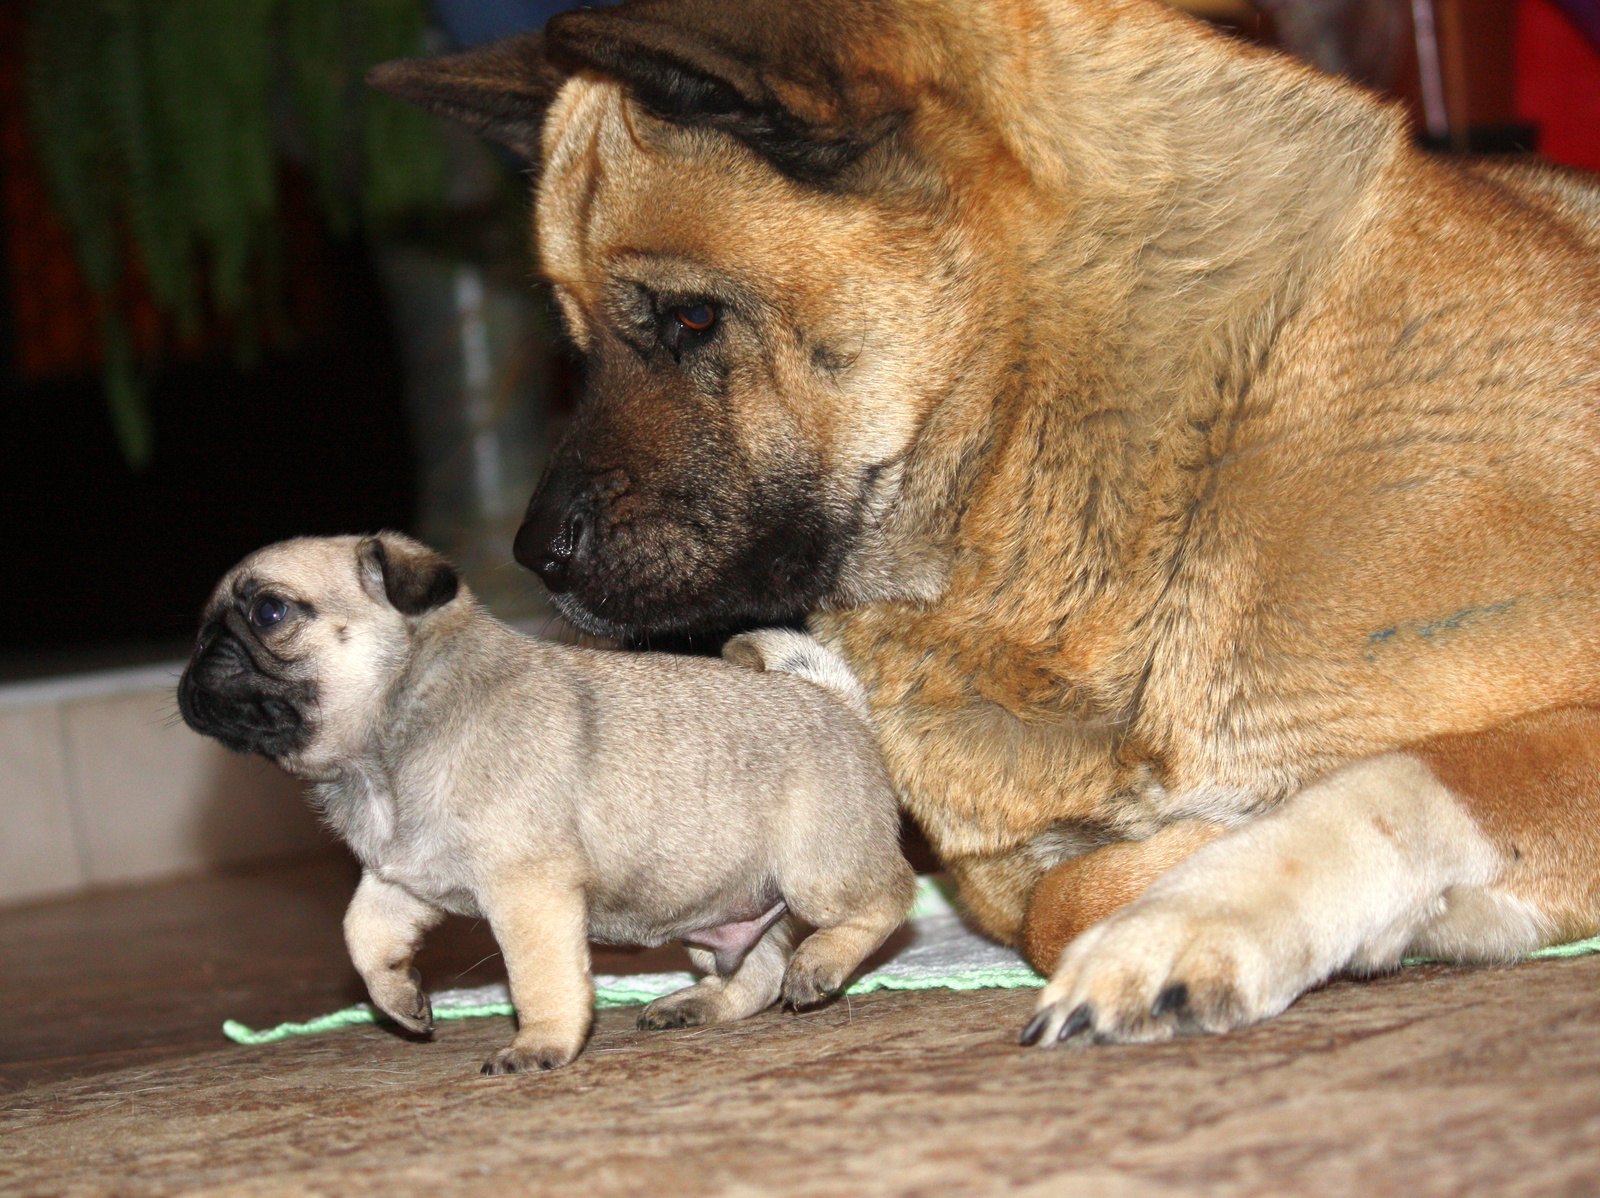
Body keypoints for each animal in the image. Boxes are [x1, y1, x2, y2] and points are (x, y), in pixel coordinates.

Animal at [178, 534, 915, 1074]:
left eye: (270, 613)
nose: (195, 662)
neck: (385, 746)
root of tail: (837, 702)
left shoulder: (527, 892)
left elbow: (537, 978)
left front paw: (540, 1045)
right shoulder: (402, 878)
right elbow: (362, 933)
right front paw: (398, 997)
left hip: (818, 869)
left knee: (887, 902)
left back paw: (820, 963)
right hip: (720, 906)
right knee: (755, 971)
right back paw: (699, 1004)